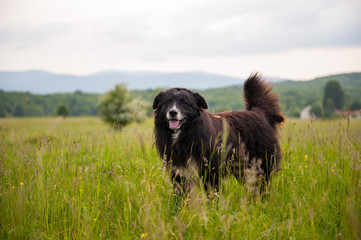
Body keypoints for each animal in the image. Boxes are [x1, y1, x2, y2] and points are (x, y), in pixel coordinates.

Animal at [152, 72, 284, 195]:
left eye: (185, 103)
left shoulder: (211, 172)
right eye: (167, 102)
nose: (173, 112)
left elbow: (213, 194)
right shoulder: (178, 173)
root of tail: (259, 112)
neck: (186, 133)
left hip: (260, 166)